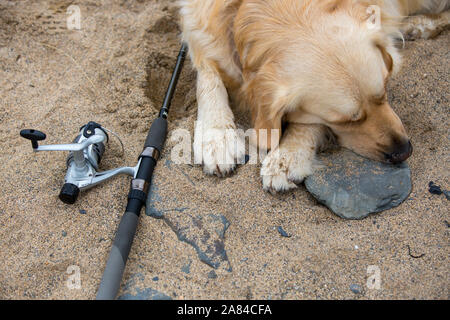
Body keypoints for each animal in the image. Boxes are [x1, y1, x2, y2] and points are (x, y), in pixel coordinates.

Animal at [179, 0, 450, 192]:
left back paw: (423, 24)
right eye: (347, 121)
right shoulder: (199, 28)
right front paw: (216, 136)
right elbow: (208, 77)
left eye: (385, 88)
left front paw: (287, 156)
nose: (404, 151)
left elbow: (307, 123)